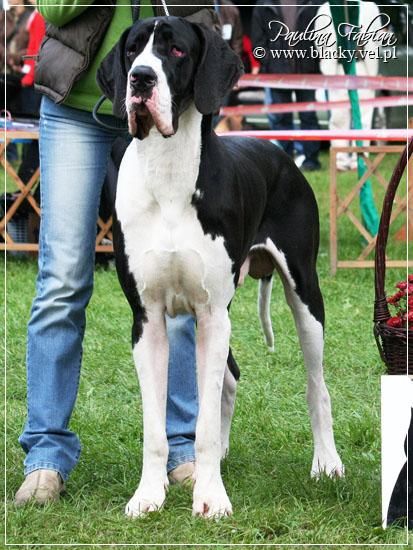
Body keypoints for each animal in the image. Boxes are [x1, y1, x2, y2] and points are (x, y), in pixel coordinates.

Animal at [97, 16, 344, 519]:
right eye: (132, 50)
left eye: (175, 51)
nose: (140, 79)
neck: (169, 172)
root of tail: (279, 150)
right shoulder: (147, 319)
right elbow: (155, 427)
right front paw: (148, 495)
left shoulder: (211, 315)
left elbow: (205, 423)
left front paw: (210, 497)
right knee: (230, 378)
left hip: (305, 292)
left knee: (317, 386)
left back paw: (327, 461)